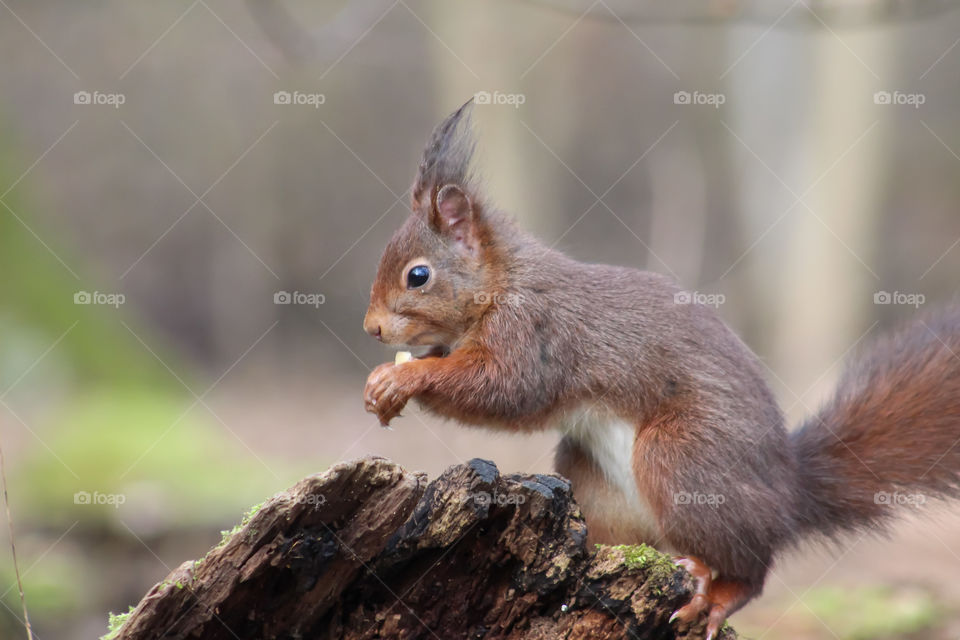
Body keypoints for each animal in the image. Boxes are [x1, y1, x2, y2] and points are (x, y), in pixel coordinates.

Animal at [360, 99, 960, 636]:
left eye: (418, 276)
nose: (372, 329)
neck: (502, 282)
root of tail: (789, 493)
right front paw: (383, 383)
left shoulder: (535, 333)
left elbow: (504, 389)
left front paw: (402, 378)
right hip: (596, 486)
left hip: (682, 457)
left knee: (753, 568)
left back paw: (715, 594)